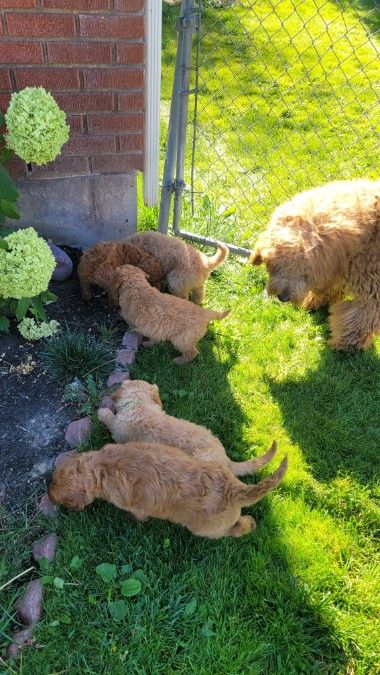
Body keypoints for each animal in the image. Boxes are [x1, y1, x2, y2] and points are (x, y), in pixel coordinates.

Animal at [47, 444, 286, 540]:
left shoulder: (136, 505)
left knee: (237, 527)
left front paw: (130, 519)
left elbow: (138, 515)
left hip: (208, 528)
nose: (47, 495)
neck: (99, 468)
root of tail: (232, 487)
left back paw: (250, 524)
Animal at [249, 177, 380, 352]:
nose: (283, 298)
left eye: (305, 273)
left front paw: (346, 343)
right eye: (273, 265)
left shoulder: (373, 290)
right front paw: (313, 302)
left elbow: (360, 318)